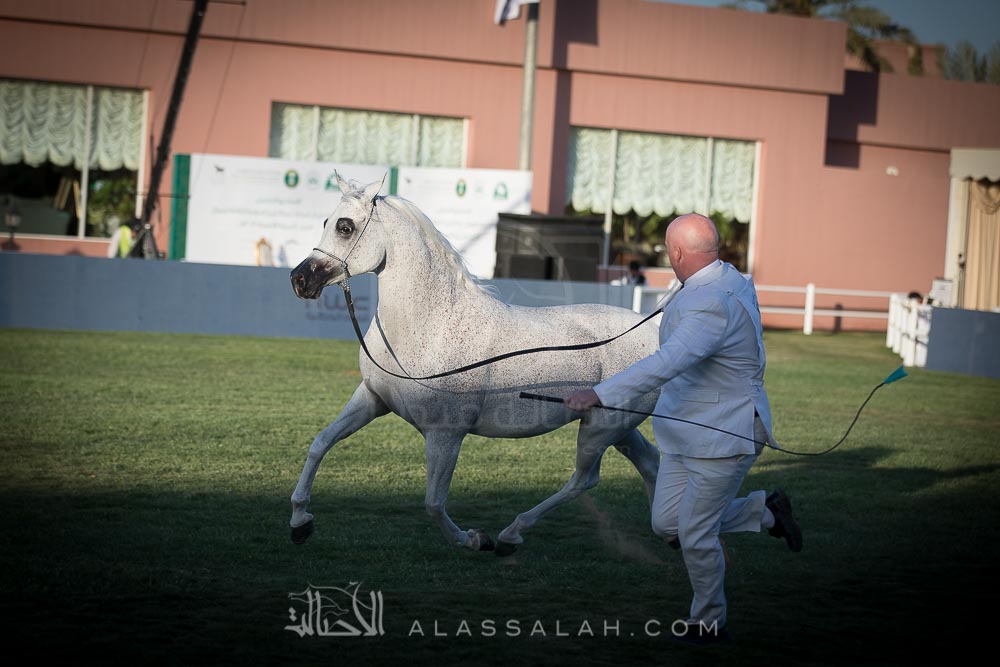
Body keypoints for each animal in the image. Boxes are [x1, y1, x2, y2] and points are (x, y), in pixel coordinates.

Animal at [289, 172, 663, 555]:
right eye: (327, 222)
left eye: (345, 227)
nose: (300, 280)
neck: (430, 323)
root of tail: (652, 330)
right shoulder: (372, 399)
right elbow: (320, 443)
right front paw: (300, 522)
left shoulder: (445, 433)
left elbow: (433, 502)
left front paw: (472, 539)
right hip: (619, 428)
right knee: (649, 461)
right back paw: (667, 534)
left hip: (601, 429)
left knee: (585, 479)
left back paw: (511, 534)